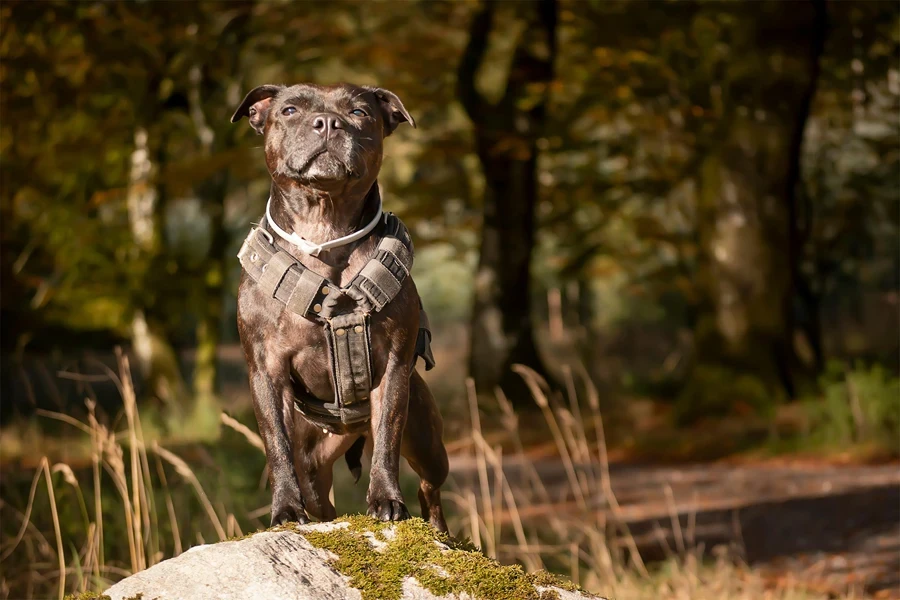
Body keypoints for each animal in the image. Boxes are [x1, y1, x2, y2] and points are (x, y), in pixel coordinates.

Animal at [229, 83, 446, 528]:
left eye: (359, 112)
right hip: (314, 467)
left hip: (429, 443)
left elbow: (387, 441)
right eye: (289, 110)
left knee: (429, 487)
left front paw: (386, 500)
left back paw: (436, 525)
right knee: (320, 501)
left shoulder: (393, 368)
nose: (328, 122)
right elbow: (276, 446)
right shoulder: (266, 370)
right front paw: (284, 509)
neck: (323, 228)